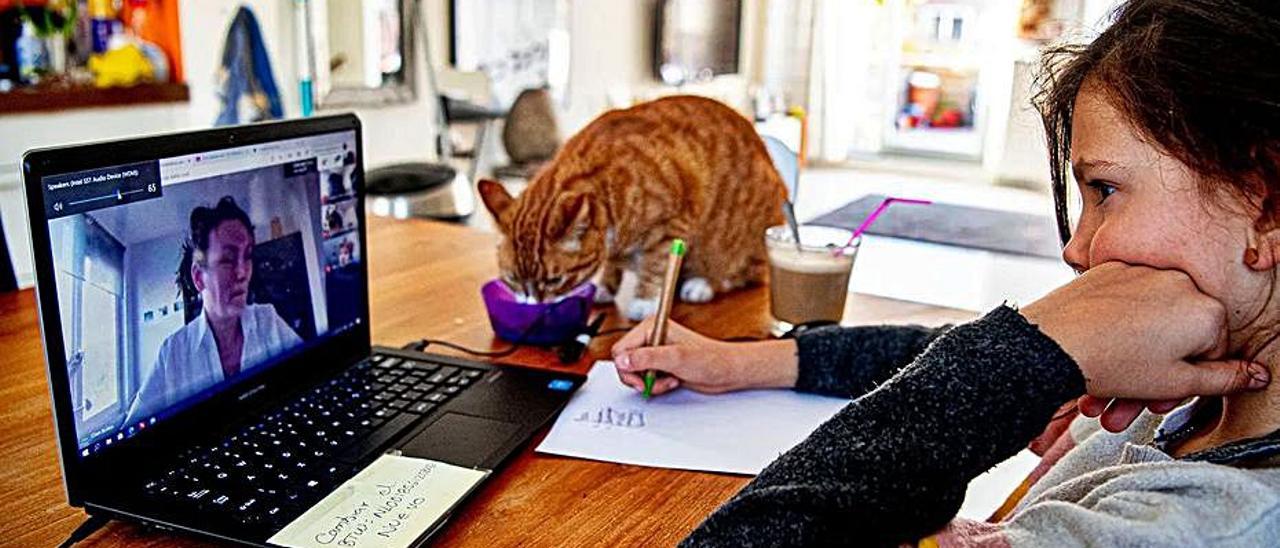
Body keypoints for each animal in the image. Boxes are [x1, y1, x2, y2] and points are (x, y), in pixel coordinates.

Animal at [478, 92, 783, 316]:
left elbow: (656, 264)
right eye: (513, 278)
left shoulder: (673, 223)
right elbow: (612, 265)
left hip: (736, 242)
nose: (533, 307)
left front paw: (645, 302)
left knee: (746, 272)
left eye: (554, 281)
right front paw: (604, 287)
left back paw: (702, 284)